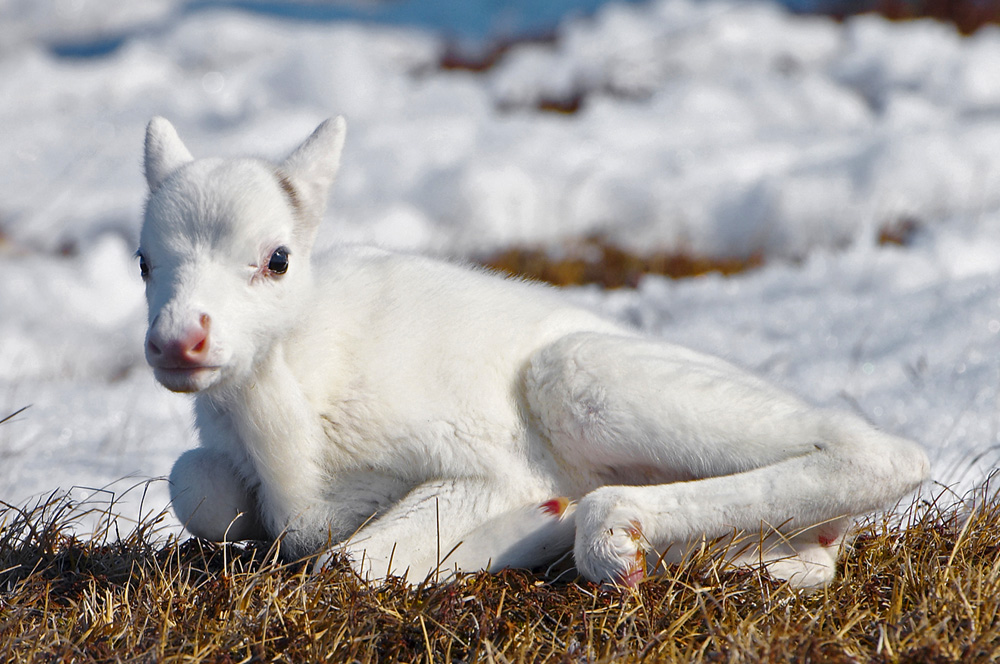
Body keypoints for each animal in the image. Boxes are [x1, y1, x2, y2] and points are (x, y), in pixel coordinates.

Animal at [141, 116, 928, 588]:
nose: (179, 340)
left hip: (578, 374)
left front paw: (526, 525)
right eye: (144, 261)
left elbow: (348, 564)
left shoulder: (487, 463)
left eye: (277, 258)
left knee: (882, 452)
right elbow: (195, 483)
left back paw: (605, 532)